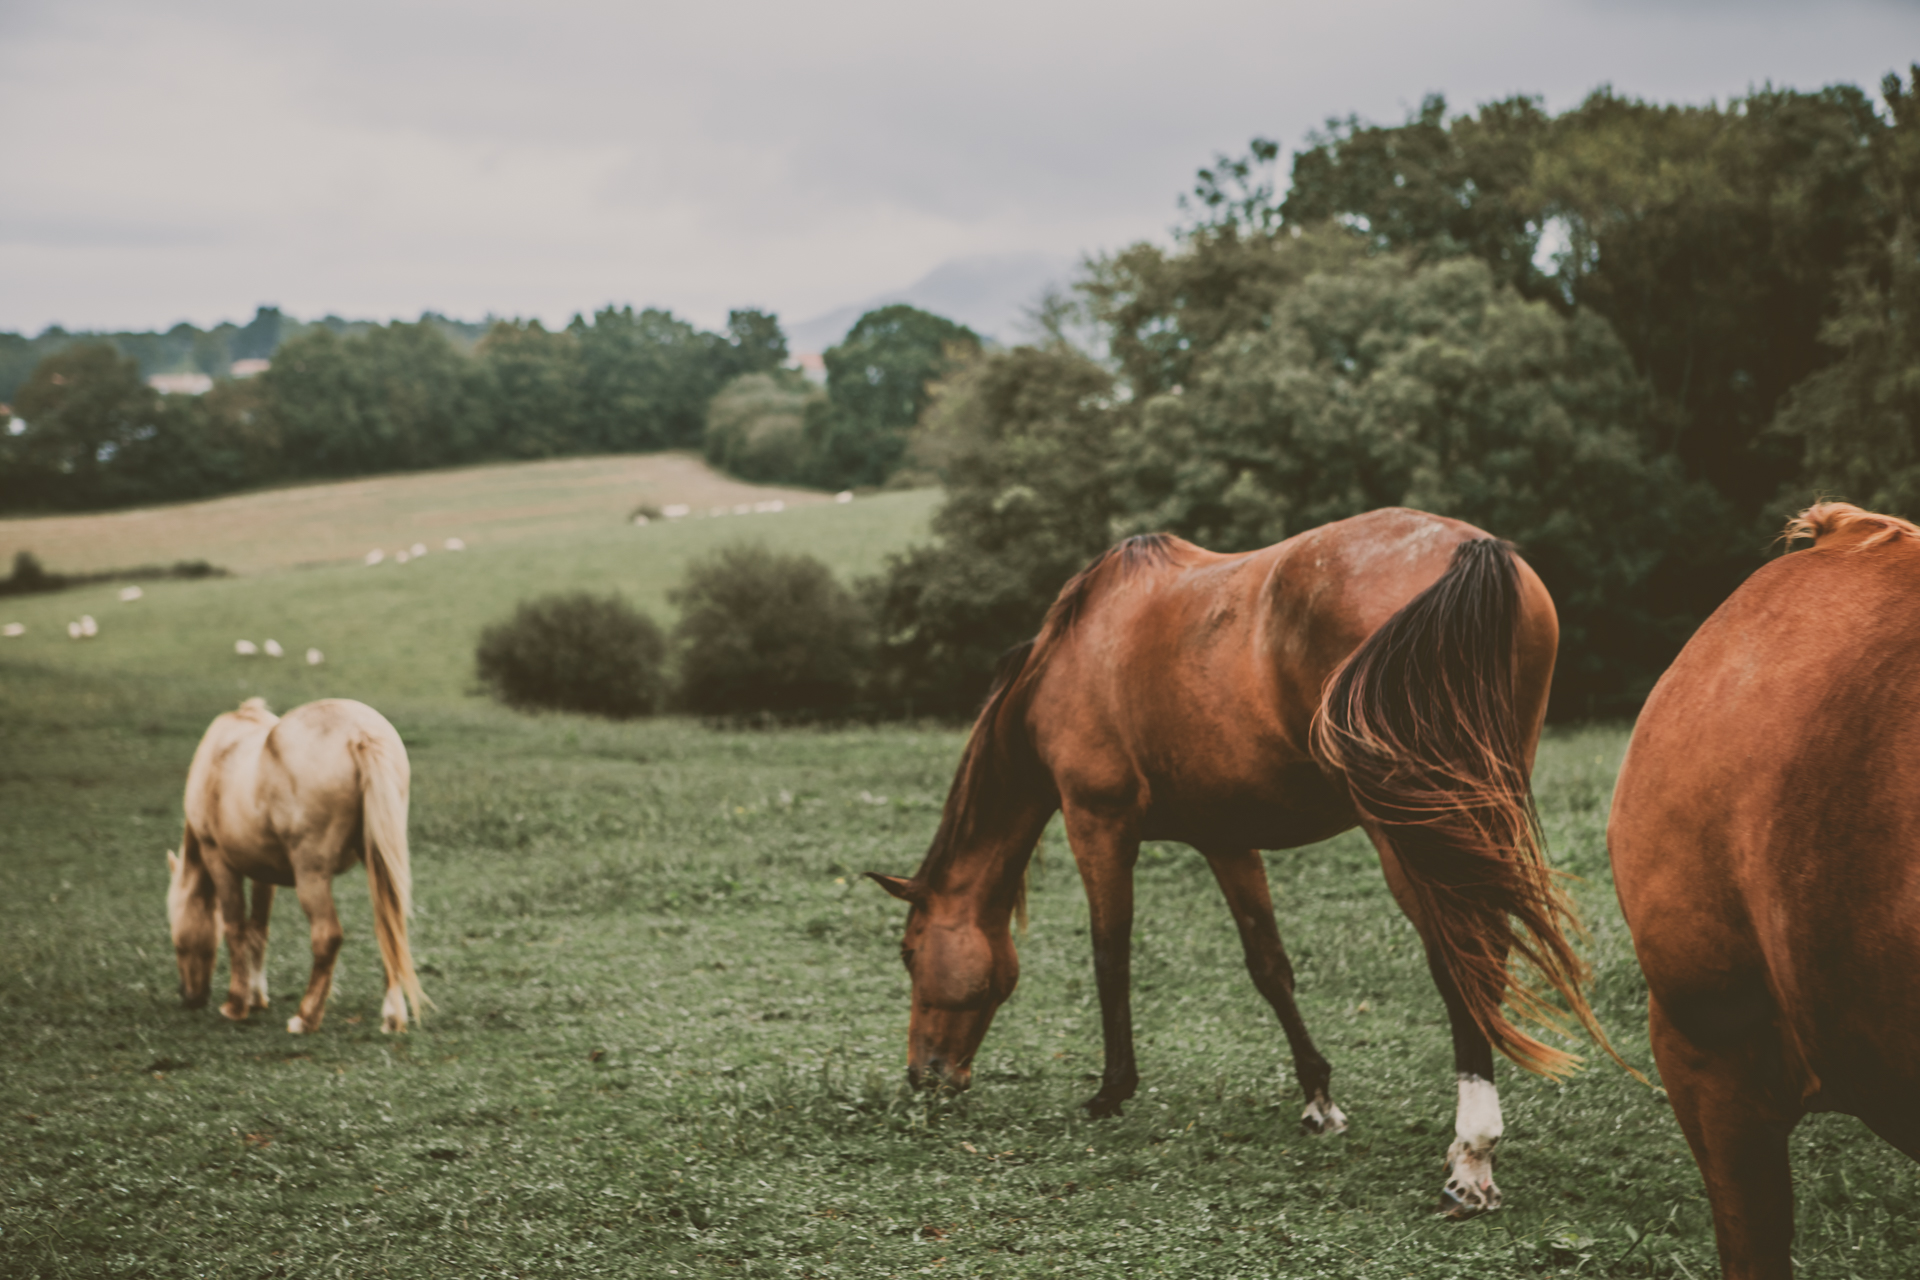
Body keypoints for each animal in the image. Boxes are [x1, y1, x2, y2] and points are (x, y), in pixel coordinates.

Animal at [169, 694, 428, 1036]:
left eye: (176, 940)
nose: (189, 997)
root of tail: (358, 734)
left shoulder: (219, 860)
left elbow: (235, 928)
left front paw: (236, 1005)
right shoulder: (262, 871)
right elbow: (258, 930)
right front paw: (256, 997)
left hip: (311, 876)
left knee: (327, 936)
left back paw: (305, 1018)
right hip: (378, 863)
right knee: (390, 926)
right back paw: (392, 1016)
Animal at [864, 506, 1612, 1212]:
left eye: (909, 951)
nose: (925, 1076)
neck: (1072, 654)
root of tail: (1468, 552)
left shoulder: (1097, 822)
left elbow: (1110, 953)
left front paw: (1111, 1092)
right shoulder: (1226, 838)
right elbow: (1269, 967)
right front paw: (1319, 1099)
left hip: (1411, 833)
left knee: (1461, 959)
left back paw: (1471, 1155)